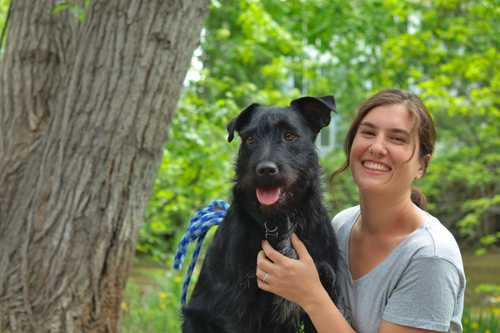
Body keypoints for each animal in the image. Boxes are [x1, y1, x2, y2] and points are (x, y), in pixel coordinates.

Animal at [182, 94, 338, 330]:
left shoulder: (323, 290)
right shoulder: (237, 306)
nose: (265, 170)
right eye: (250, 139)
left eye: (290, 136)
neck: (279, 221)